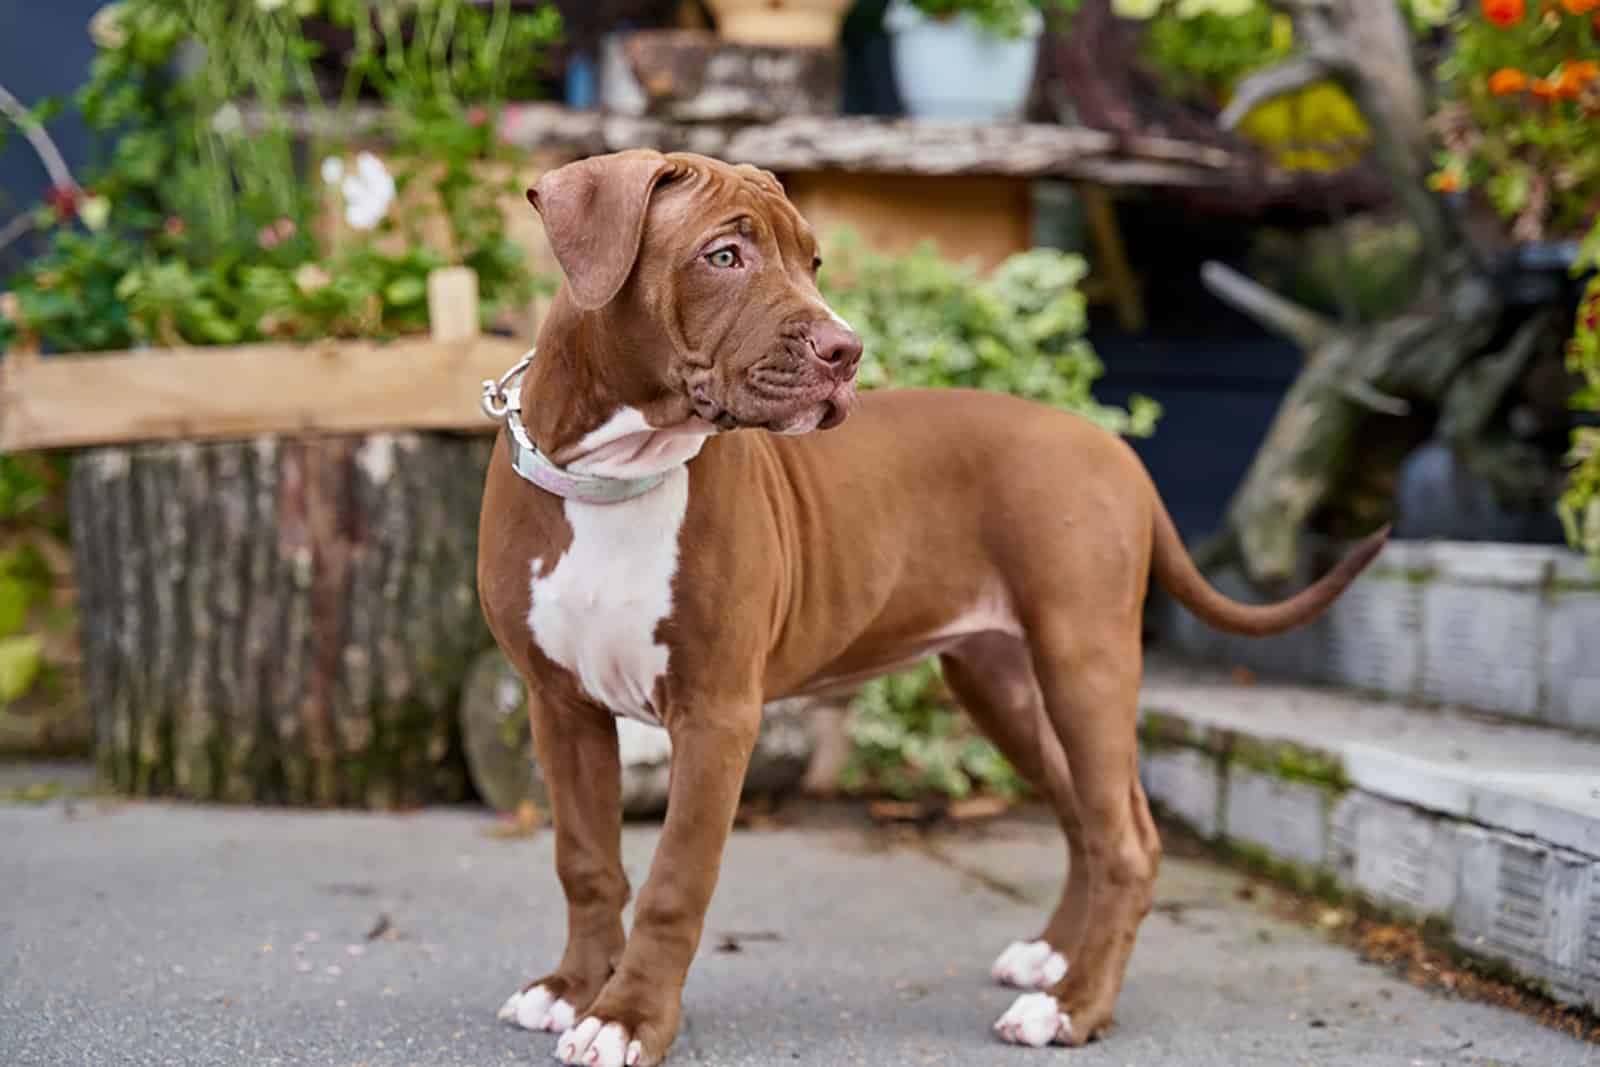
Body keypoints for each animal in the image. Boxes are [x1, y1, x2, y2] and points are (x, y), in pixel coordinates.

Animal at [476, 150, 1388, 1067]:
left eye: (813, 262)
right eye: (723, 256)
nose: (845, 349)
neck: (618, 473)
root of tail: (1114, 449)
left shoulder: (716, 711)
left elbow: (675, 878)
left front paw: (628, 1017)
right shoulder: (560, 705)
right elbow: (585, 859)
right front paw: (572, 988)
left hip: (1083, 662)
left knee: (1127, 839)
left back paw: (1073, 1005)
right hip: (1003, 681)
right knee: (1086, 816)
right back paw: (1052, 957)